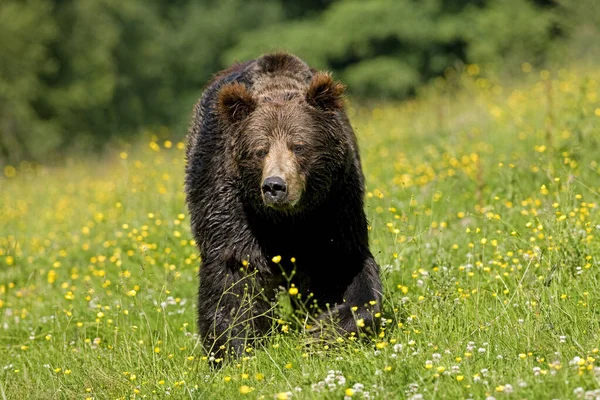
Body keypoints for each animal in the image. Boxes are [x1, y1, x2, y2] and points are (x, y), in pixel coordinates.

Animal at [184, 52, 380, 356]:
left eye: (299, 146)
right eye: (260, 150)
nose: (275, 186)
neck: (287, 218)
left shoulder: (335, 201)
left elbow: (342, 263)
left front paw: (324, 328)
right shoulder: (230, 201)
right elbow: (234, 272)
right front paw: (232, 349)